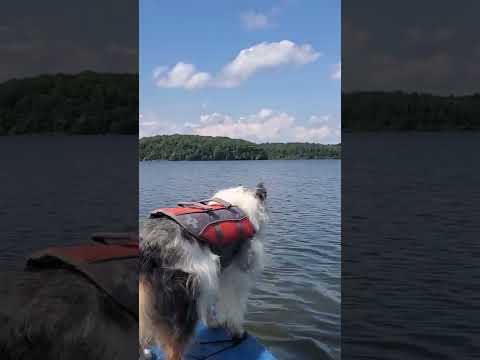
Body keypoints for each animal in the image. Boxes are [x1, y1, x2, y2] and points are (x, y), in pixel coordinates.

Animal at [139, 184, 268, 358]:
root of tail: (149, 246)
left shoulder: (215, 274)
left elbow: (209, 303)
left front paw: (212, 323)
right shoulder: (236, 275)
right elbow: (235, 307)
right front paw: (237, 332)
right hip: (184, 301)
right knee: (174, 350)